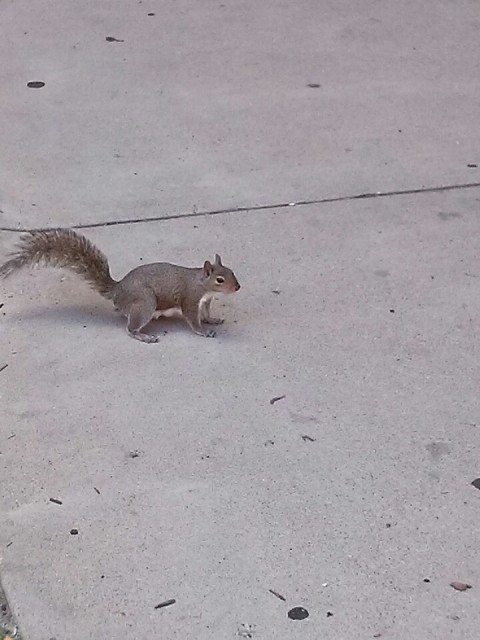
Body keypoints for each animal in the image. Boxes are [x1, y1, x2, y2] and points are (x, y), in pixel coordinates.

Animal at [0, 229, 240, 342]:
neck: (203, 285)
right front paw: (204, 331)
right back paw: (144, 336)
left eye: (232, 272)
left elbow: (206, 313)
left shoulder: (205, 301)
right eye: (220, 279)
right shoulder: (190, 298)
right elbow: (192, 318)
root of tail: (118, 290)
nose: (237, 288)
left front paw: (213, 320)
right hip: (145, 302)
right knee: (130, 329)